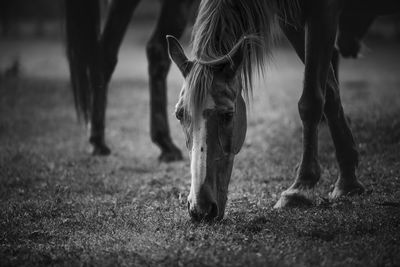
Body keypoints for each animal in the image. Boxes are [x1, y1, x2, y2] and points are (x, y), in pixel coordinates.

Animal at [167, 0, 398, 222]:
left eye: (228, 115)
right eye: (179, 115)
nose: (200, 209)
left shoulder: (323, 12)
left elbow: (311, 101)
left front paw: (300, 188)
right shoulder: (292, 24)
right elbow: (331, 94)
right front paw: (348, 181)